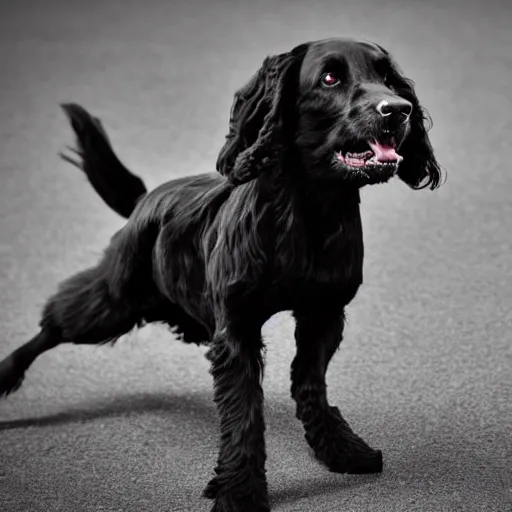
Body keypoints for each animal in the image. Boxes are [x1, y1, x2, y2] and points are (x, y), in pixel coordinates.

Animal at [0, 39, 440, 512]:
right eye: (329, 78)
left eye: (388, 77)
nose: (398, 110)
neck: (306, 217)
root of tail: (144, 200)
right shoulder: (238, 331)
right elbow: (244, 413)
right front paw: (240, 491)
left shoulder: (323, 315)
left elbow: (311, 385)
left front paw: (339, 449)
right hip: (115, 299)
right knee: (56, 320)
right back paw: (5, 374)